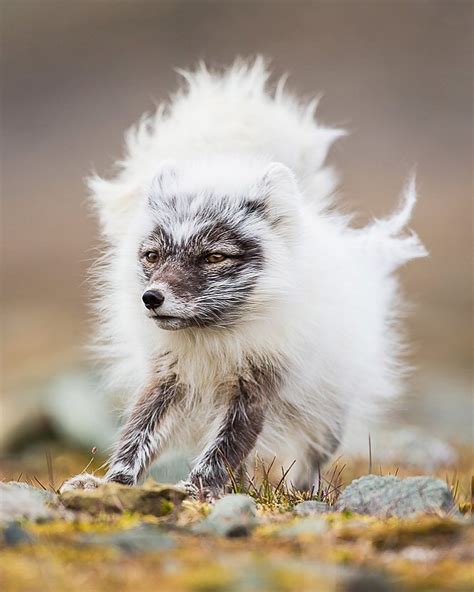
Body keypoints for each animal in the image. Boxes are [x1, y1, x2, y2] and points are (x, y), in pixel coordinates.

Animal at [61, 59, 428, 494]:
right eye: (152, 255)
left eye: (214, 257)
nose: (151, 298)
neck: (212, 340)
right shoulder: (167, 379)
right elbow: (137, 436)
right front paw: (113, 484)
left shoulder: (255, 389)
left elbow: (222, 450)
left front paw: (194, 491)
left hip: (327, 409)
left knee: (311, 454)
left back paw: (301, 490)